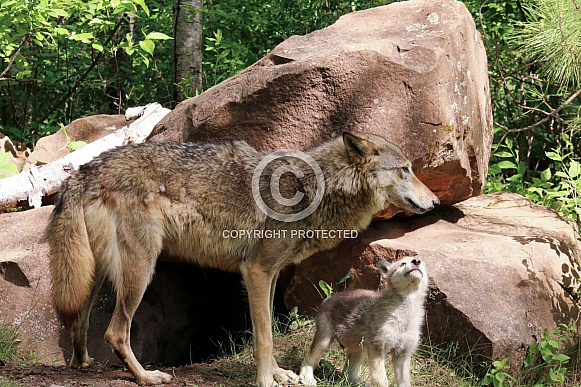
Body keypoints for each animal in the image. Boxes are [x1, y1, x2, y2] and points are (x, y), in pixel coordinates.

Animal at [300, 258, 426, 387]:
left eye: (421, 263)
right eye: (402, 264)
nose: (416, 261)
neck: (403, 318)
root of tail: (329, 298)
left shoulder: (403, 354)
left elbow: (404, 382)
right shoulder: (377, 349)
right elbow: (381, 380)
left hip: (358, 349)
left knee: (348, 373)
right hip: (324, 341)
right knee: (308, 359)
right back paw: (307, 378)